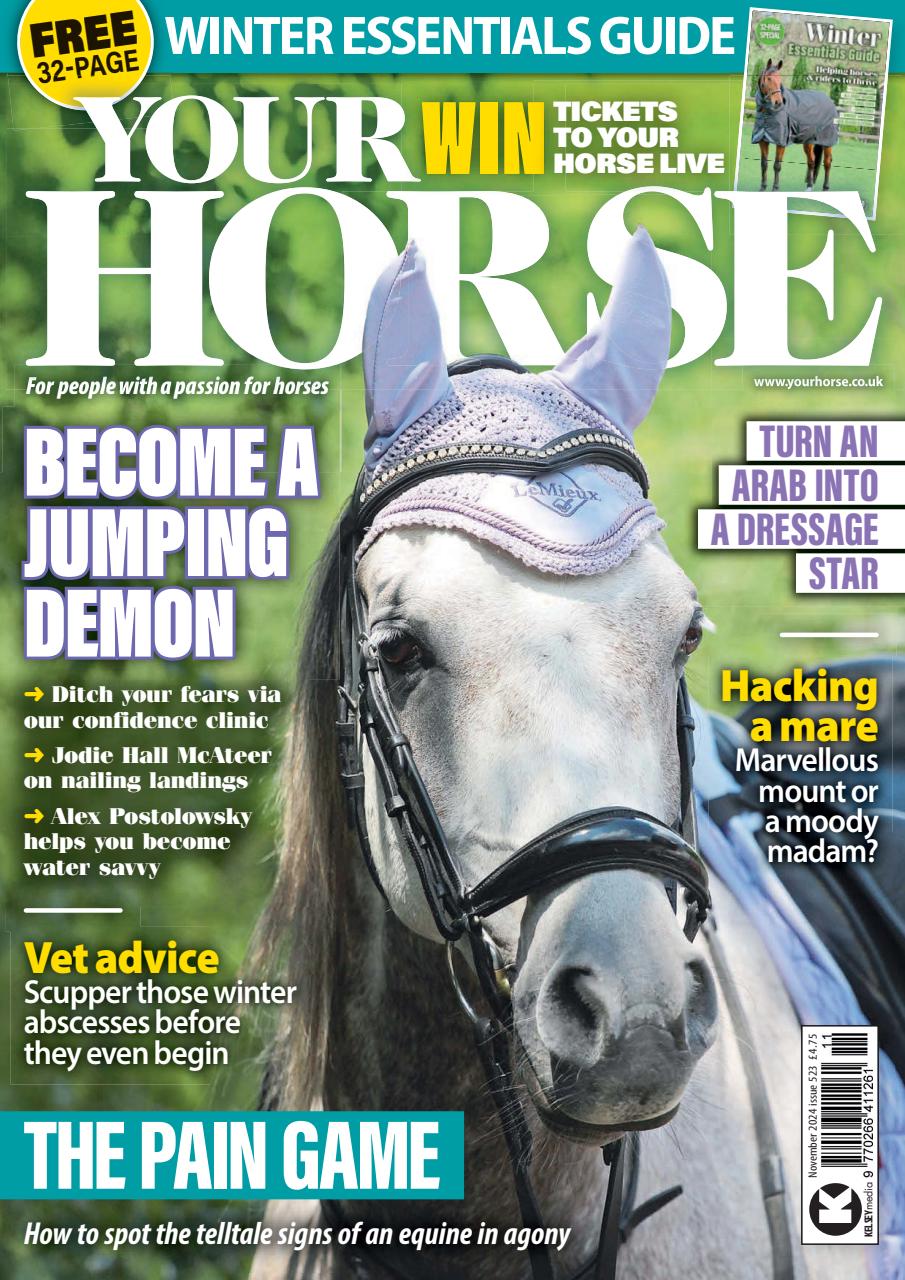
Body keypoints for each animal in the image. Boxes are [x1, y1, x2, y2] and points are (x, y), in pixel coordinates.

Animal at [753, 59, 838, 192]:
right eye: (769, 78)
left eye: (780, 80)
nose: (778, 102)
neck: (767, 113)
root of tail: (829, 101)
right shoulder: (762, 139)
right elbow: (764, 163)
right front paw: (762, 188)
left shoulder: (781, 142)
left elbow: (777, 165)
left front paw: (775, 188)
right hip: (809, 142)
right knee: (812, 160)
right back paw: (809, 186)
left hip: (827, 141)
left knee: (827, 162)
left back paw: (825, 188)